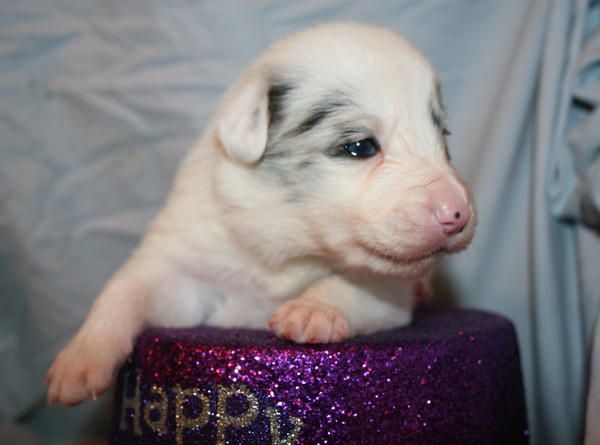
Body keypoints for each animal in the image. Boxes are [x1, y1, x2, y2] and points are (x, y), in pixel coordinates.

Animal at [46, 22, 476, 406]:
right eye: (359, 147)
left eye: (444, 140)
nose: (458, 213)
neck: (289, 247)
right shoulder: (183, 261)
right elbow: (126, 291)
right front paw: (79, 360)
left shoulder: (390, 290)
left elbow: (356, 283)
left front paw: (312, 309)